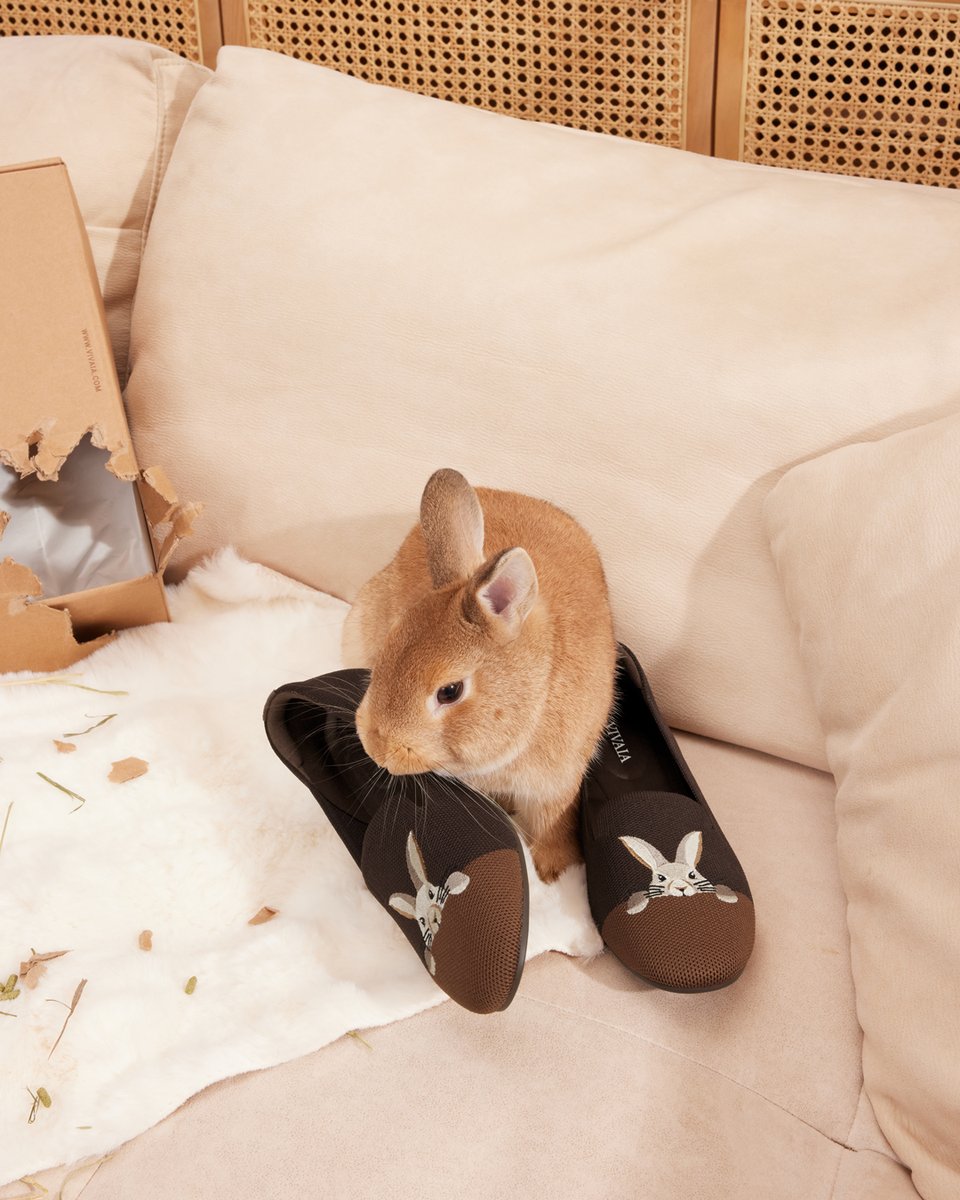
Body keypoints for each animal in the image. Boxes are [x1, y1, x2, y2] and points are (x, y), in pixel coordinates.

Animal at [343, 467, 617, 883]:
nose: (378, 750)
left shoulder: (557, 785)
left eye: (450, 691)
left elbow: (552, 822)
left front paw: (552, 870)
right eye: (387, 650)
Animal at [388, 831, 471, 975]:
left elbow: (452, 881)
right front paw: (432, 965)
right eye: (421, 920)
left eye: (431, 894)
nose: (433, 916)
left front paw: (462, 881)